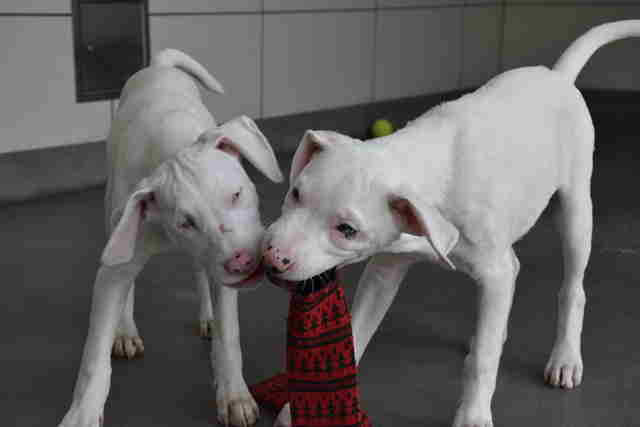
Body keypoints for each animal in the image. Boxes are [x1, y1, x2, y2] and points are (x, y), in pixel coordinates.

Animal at [58, 48, 284, 427]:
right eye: (185, 223)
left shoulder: (222, 273)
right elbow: (94, 356)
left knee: (200, 272)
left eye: (236, 194)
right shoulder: (116, 264)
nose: (242, 261)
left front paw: (234, 394)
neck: (171, 146)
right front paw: (82, 414)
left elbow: (229, 337)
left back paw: (207, 316)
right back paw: (125, 330)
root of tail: (158, 66)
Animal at [260, 21, 640, 427]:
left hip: (574, 212)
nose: (271, 258)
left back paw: (565, 357)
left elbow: (483, 361)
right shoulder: (385, 269)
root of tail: (557, 76)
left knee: (572, 288)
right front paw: (298, 408)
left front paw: (473, 415)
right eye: (296, 193)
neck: (425, 165)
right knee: (514, 271)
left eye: (347, 230)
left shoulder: (491, 271)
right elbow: (357, 331)